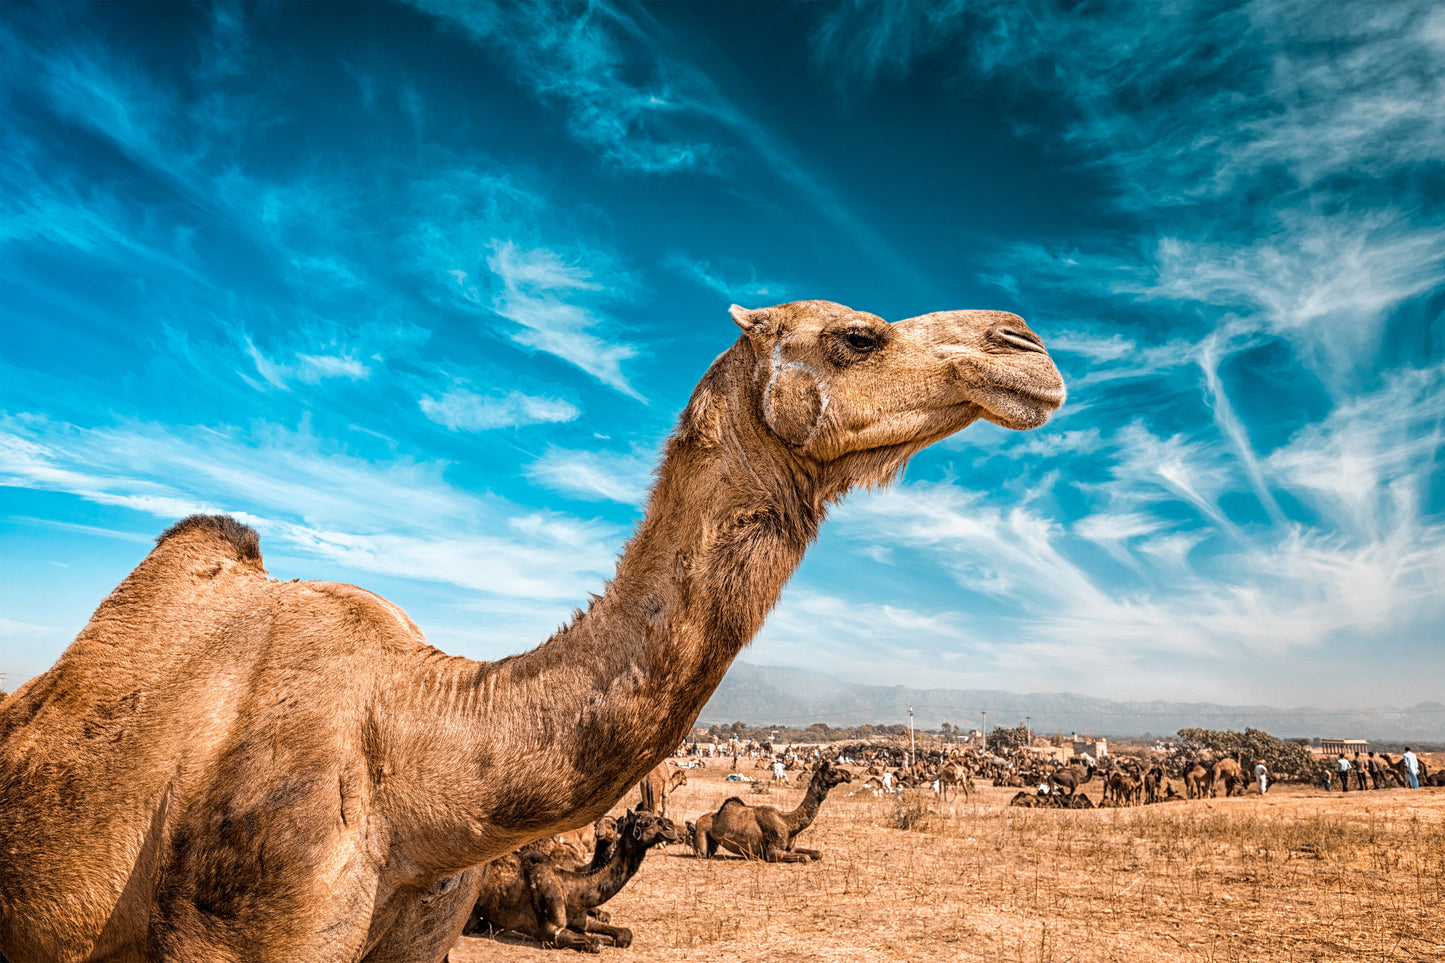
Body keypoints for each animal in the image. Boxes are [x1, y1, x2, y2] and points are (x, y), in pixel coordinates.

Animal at [465, 803, 684, 948]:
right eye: (645, 822)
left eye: (614, 825)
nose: (671, 829)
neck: (570, 888)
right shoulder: (551, 930)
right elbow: (594, 943)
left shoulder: (581, 918)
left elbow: (624, 934)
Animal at [690, 763, 849, 856]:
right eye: (833, 771)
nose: (848, 775)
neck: (788, 823)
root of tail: (698, 819)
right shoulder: (773, 852)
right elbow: (805, 858)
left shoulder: (791, 848)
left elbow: (818, 854)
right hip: (702, 832)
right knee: (702, 853)